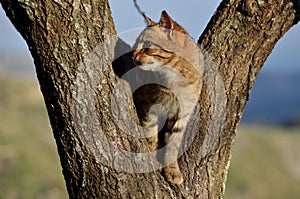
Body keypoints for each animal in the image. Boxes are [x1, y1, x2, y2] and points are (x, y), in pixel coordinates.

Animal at [130, 10, 203, 185]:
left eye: (146, 45)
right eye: (135, 44)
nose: (132, 57)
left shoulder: (181, 114)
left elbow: (173, 144)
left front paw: (172, 170)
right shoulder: (147, 106)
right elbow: (151, 135)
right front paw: (152, 158)